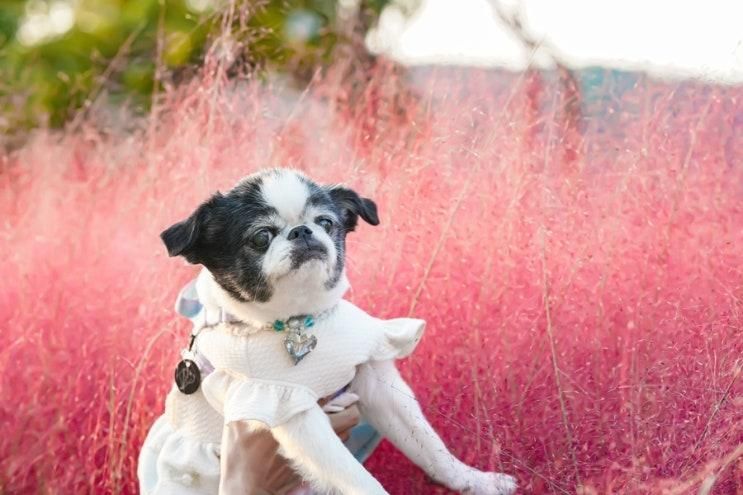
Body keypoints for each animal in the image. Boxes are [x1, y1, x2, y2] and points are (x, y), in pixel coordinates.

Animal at [137, 169, 516, 494]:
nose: (302, 231)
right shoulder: (292, 410)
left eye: (325, 222)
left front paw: (477, 482)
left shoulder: (377, 384)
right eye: (261, 237)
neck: (297, 322)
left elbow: (430, 448)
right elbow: (358, 480)